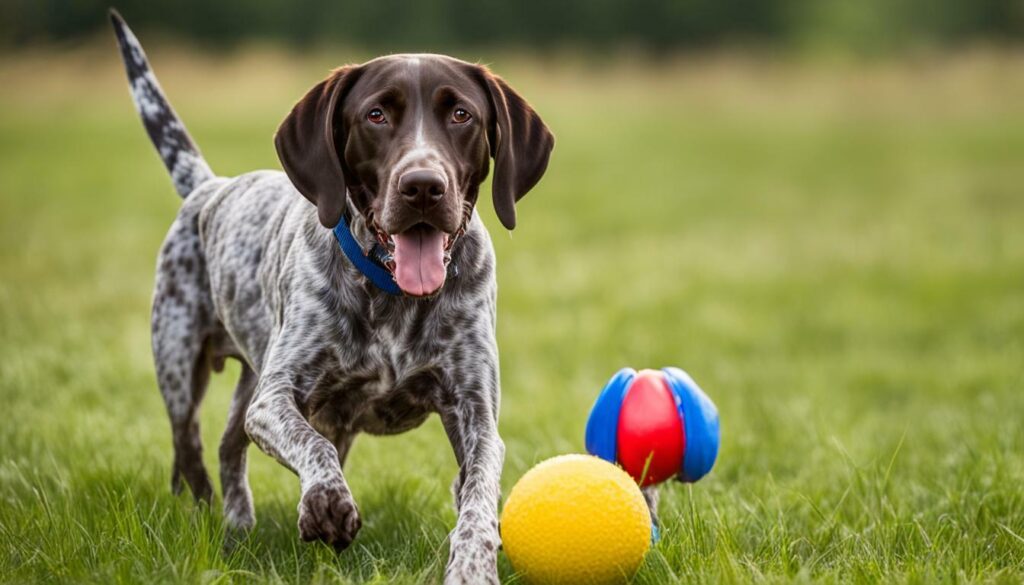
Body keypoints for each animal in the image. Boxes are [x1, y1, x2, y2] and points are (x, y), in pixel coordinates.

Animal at [110, 11, 552, 581]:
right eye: (375, 114)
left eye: (461, 114)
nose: (423, 186)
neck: (392, 294)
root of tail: (211, 186)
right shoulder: (275, 400)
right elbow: (312, 448)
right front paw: (325, 505)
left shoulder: (475, 415)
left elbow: (476, 495)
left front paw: (472, 563)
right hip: (181, 371)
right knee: (194, 454)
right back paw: (217, 525)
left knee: (231, 447)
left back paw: (239, 528)